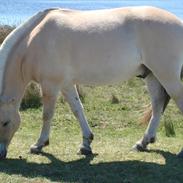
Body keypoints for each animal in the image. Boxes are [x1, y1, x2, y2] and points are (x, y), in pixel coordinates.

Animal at [0, 6, 183, 159]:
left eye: (5, 122)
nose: (1, 154)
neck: (33, 41)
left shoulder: (50, 85)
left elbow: (47, 115)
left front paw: (39, 144)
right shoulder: (66, 85)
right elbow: (77, 109)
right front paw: (86, 144)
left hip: (167, 76)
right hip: (152, 76)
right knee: (157, 105)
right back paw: (143, 143)